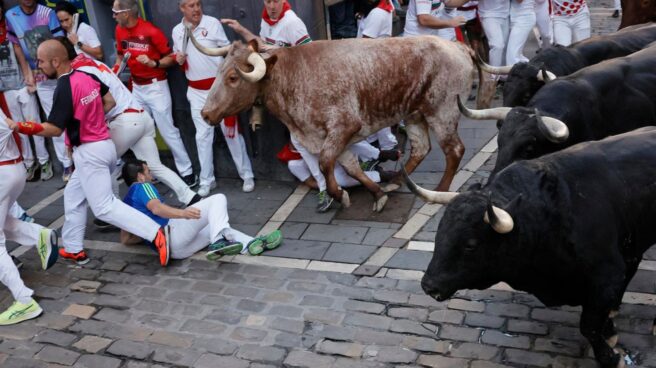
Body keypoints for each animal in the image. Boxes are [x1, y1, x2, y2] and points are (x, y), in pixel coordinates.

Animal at [190, 32, 476, 213]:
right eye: (218, 72)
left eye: (233, 77)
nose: (205, 114)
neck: (292, 76)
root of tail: (458, 46)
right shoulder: (329, 138)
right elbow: (351, 168)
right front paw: (378, 194)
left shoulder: (342, 128)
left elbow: (326, 164)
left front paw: (340, 195)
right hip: (415, 114)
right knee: (420, 148)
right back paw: (395, 180)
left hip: (442, 111)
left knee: (454, 150)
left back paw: (440, 191)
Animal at [410, 127, 656, 368]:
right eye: (440, 233)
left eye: (470, 244)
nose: (428, 285)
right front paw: (611, 332)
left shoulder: (607, 276)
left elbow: (589, 326)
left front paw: (610, 357)